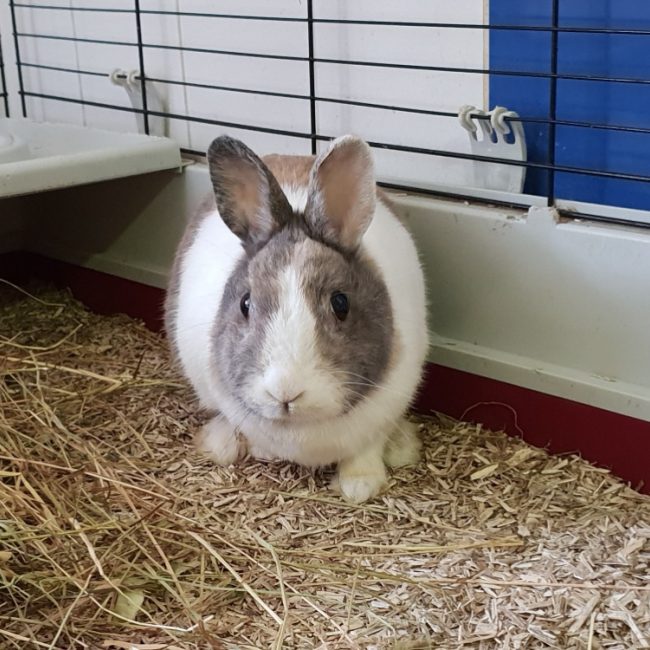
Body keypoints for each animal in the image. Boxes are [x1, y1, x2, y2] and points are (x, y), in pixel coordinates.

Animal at [165, 134, 429, 503]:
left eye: (341, 303)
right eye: (245, 304)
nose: (285, 392)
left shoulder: (387, 408)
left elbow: (366, 449)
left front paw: (359, 486)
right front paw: (260, 450)